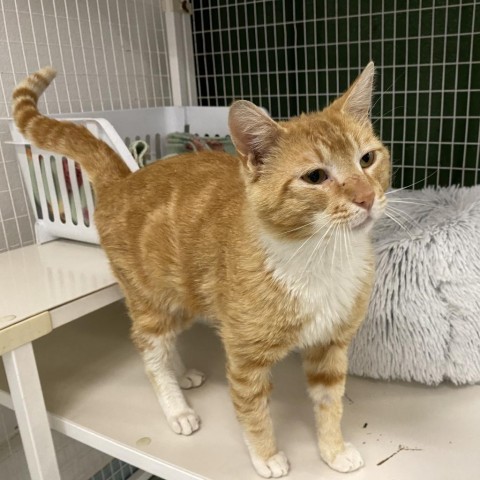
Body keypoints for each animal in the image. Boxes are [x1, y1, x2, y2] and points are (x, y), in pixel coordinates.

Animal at [13, 63, 390, 476]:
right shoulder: (244, 357)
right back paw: (176, 407)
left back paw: (181, 372)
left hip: (183, 298)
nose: (366, 197)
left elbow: (329, 402)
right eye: (315, 177)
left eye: (367, 159)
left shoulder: (331, 344)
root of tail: (124, 179)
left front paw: (333, 450)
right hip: (150, 299)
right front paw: (266, 455)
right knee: (149, 350)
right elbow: (252, 410)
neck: (321, 257)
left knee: (166, 343)